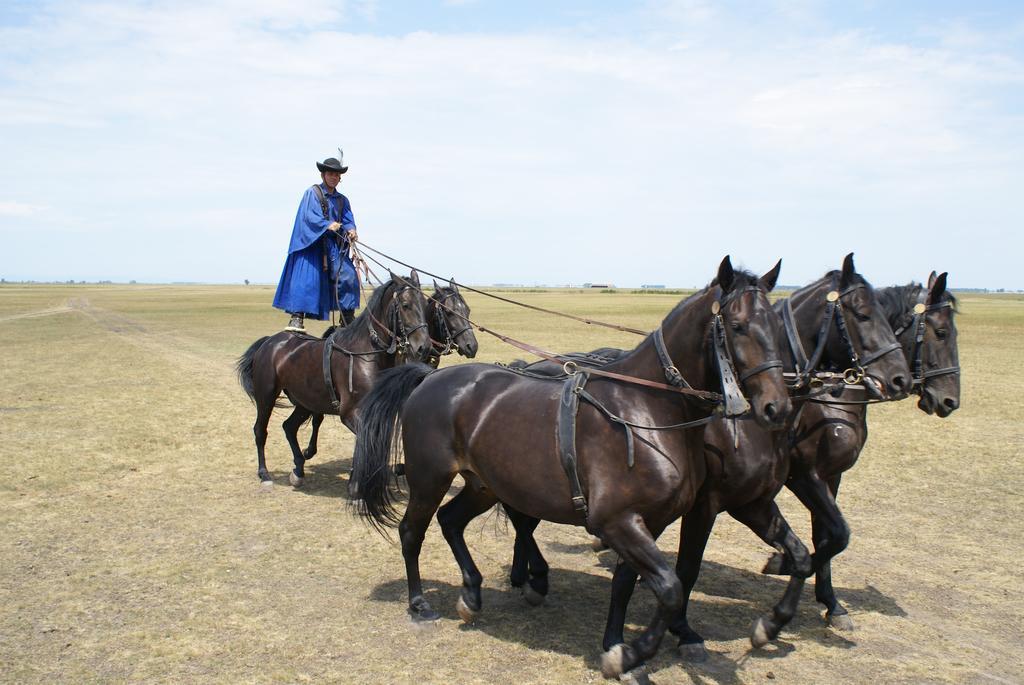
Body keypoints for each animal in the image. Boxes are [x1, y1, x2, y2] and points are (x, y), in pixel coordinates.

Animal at [234, 270, 428, 483]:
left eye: (425, 304)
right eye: (406, 305)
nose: (424, 347)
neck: (366, 354)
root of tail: (269, 342)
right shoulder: (350, 414)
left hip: (304, 402)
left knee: (289, 427)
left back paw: (298, 469)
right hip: (266, 396)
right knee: (260, 430)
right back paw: (264, 473)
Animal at [352, 258, 790, 679]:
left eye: (777, 326)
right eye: (738, 326)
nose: (777, 407)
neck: (644, 411)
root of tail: (429, 379)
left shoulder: (647, 522)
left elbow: (626, 584)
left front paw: (616, 646)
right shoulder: (618, 522)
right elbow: (670, 588)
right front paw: (630, 654)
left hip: (484, 485)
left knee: (451, 521)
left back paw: (472, 595)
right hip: (430, 479)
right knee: (412, 532)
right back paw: (419, 604)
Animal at [770, 266, 958, 626]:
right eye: (941, 332)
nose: (950, 400)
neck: (832, 400)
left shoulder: (832, 476)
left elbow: (827, 535)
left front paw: (832, 603)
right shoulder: (803, 476)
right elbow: (839, 533)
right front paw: (783, 563)